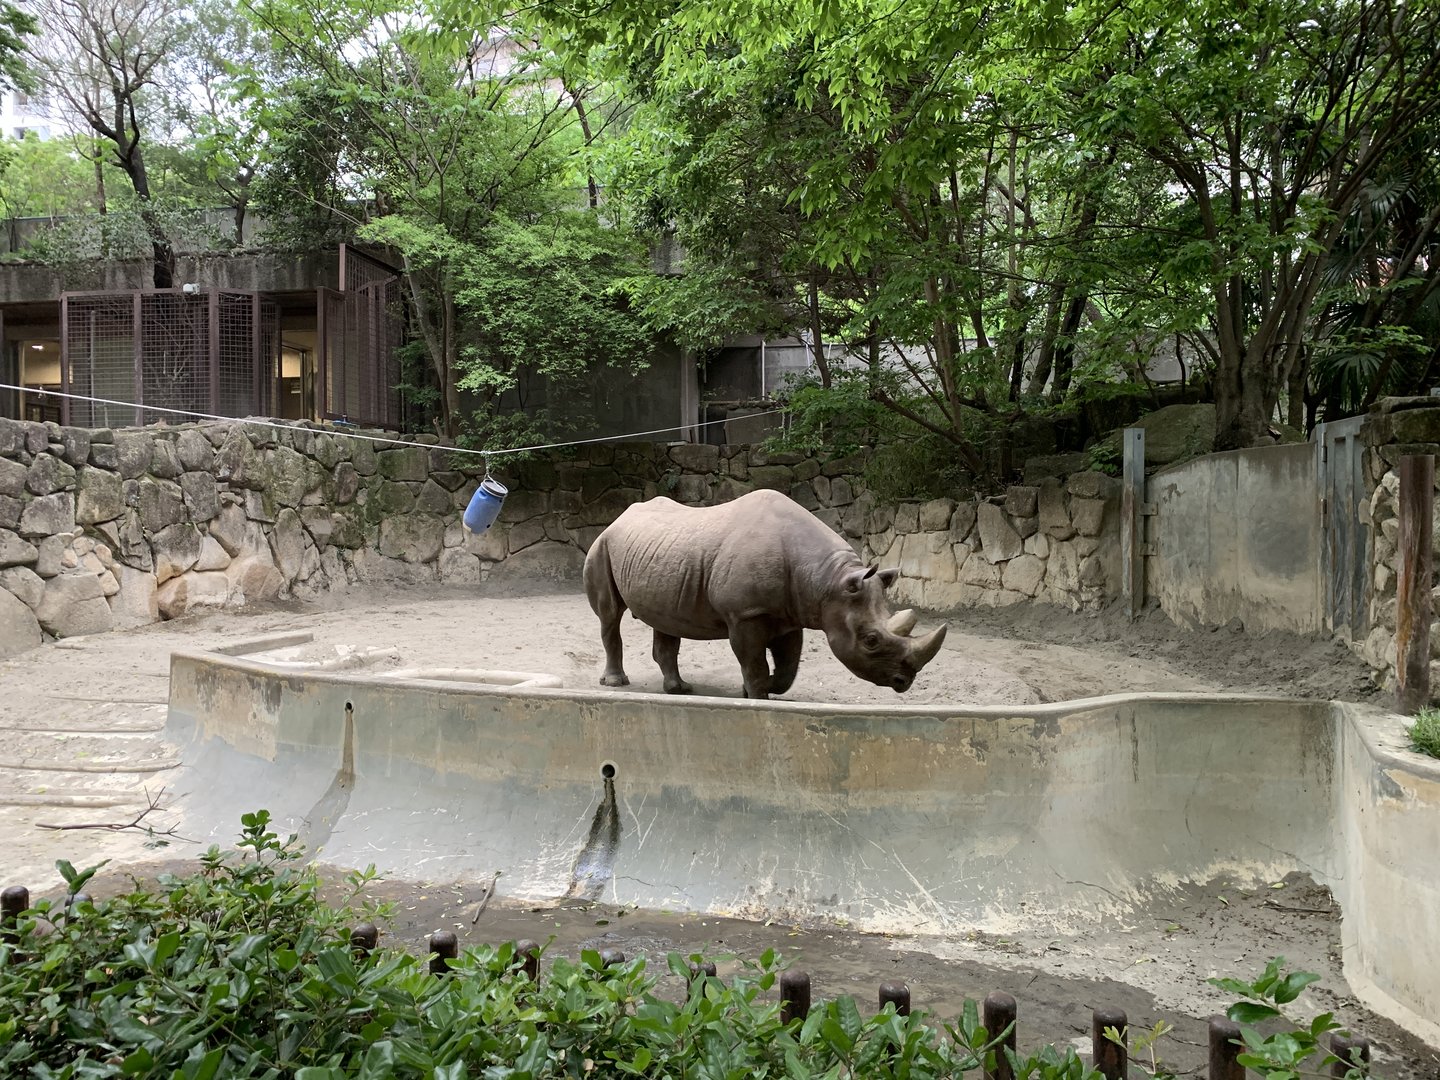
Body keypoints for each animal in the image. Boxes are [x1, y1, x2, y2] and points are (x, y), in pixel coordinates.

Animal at [582, 489, 948, 699]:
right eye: (871, 640)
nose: (904, 681)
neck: (828, 581)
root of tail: (620, 516)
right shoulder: (745, 615)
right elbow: (755, 664)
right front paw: (756, 694)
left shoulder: (792, 613)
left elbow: (788, 668)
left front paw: (759, 688)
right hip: (602, 546)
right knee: (610, 615)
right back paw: (616, 683)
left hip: (660, 554)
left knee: (666, 621)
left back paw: (679, 689)